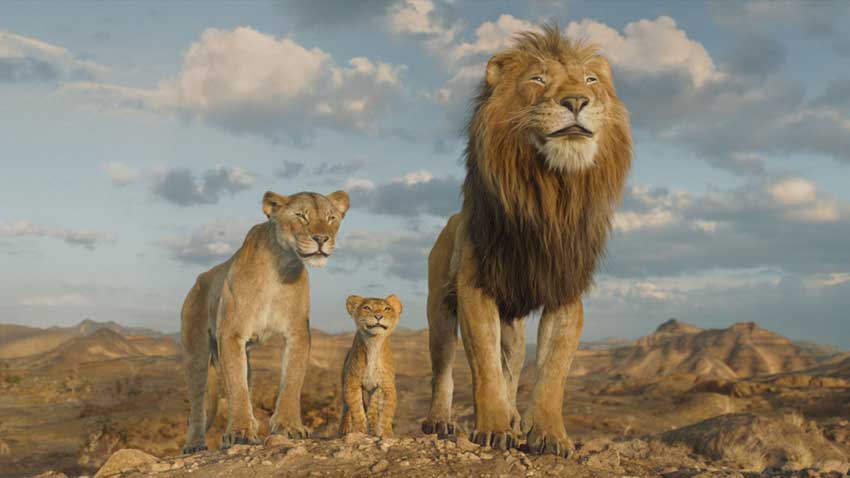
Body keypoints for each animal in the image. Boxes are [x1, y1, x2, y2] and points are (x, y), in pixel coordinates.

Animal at [181, 189, 350, 453]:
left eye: (331, 218)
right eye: (301, 216)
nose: (322, 238)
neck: (281, 266)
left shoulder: (297, 332)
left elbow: (292, 380)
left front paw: (289, 426)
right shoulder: (232, 334)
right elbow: (236, 386)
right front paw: (239, 432)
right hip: (196, 353)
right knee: (198, 405)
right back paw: (195, 444)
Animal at [339, 294, 402, 438]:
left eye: (387, 309)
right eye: (367, 308)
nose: (378, 316)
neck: (374, 343)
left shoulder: (387, 386)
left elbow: (386, 412)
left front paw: (386, 433)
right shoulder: (352, 383)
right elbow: (356, 409)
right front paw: (360, 431)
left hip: (375, 391)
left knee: (373, 410)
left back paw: (373, 430)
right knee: (346, 407)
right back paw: (344, 428)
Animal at [421, 26, 632, 457]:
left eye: (591, 80)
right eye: (537, 79)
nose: (576, 101)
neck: (550, 194)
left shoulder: (565, 291)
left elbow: (552, 371)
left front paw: (549, 435)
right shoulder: (475, 288)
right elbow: (484, 367)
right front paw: (492, 428)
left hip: (513, 327)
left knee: (513, 367)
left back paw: (515, 417)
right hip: (439, 308)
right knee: (443, 368)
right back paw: (439, 421)